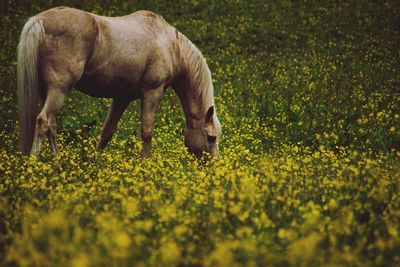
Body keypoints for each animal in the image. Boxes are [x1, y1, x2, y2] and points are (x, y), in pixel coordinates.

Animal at [17, 6, 222, 159]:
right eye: (211, 138)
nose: (213, 165)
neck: (170, 46)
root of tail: (39, 21)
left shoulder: (122, 97)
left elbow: (107, 131)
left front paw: (96, 162)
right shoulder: (151, 92)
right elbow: (147, 132)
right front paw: (145, 165)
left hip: (47, 91)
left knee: (51, 125)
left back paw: (58, 161)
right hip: (59, 89)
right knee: (43, 121)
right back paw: (34, 163)